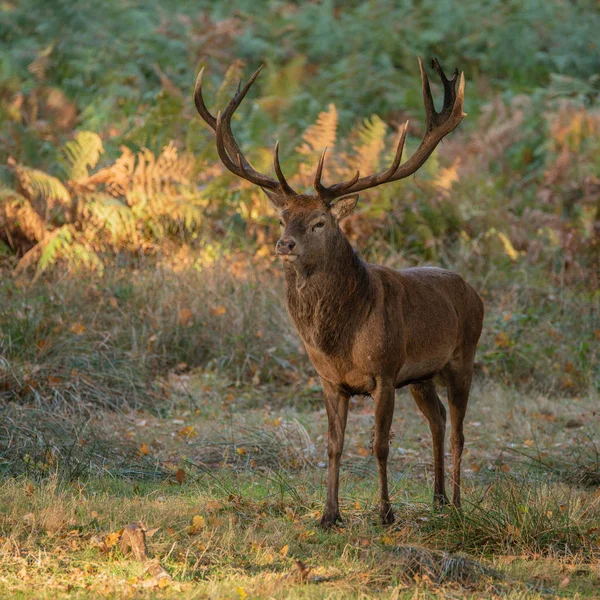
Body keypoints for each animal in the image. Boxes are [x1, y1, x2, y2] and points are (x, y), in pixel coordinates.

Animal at [195, 56, 486, 524]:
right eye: (282, 219)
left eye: (319, 223)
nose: (284, 244)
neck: (339, 338)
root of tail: (473, 292)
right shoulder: (331, 380)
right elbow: (334, 446)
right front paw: (329, 515)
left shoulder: (384, 371)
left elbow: (380, 445)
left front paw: (384, 513)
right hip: (421, 375)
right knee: (438, 420)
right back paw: (438, 499)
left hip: (464, 355)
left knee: (460, 430)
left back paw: (458, 504)